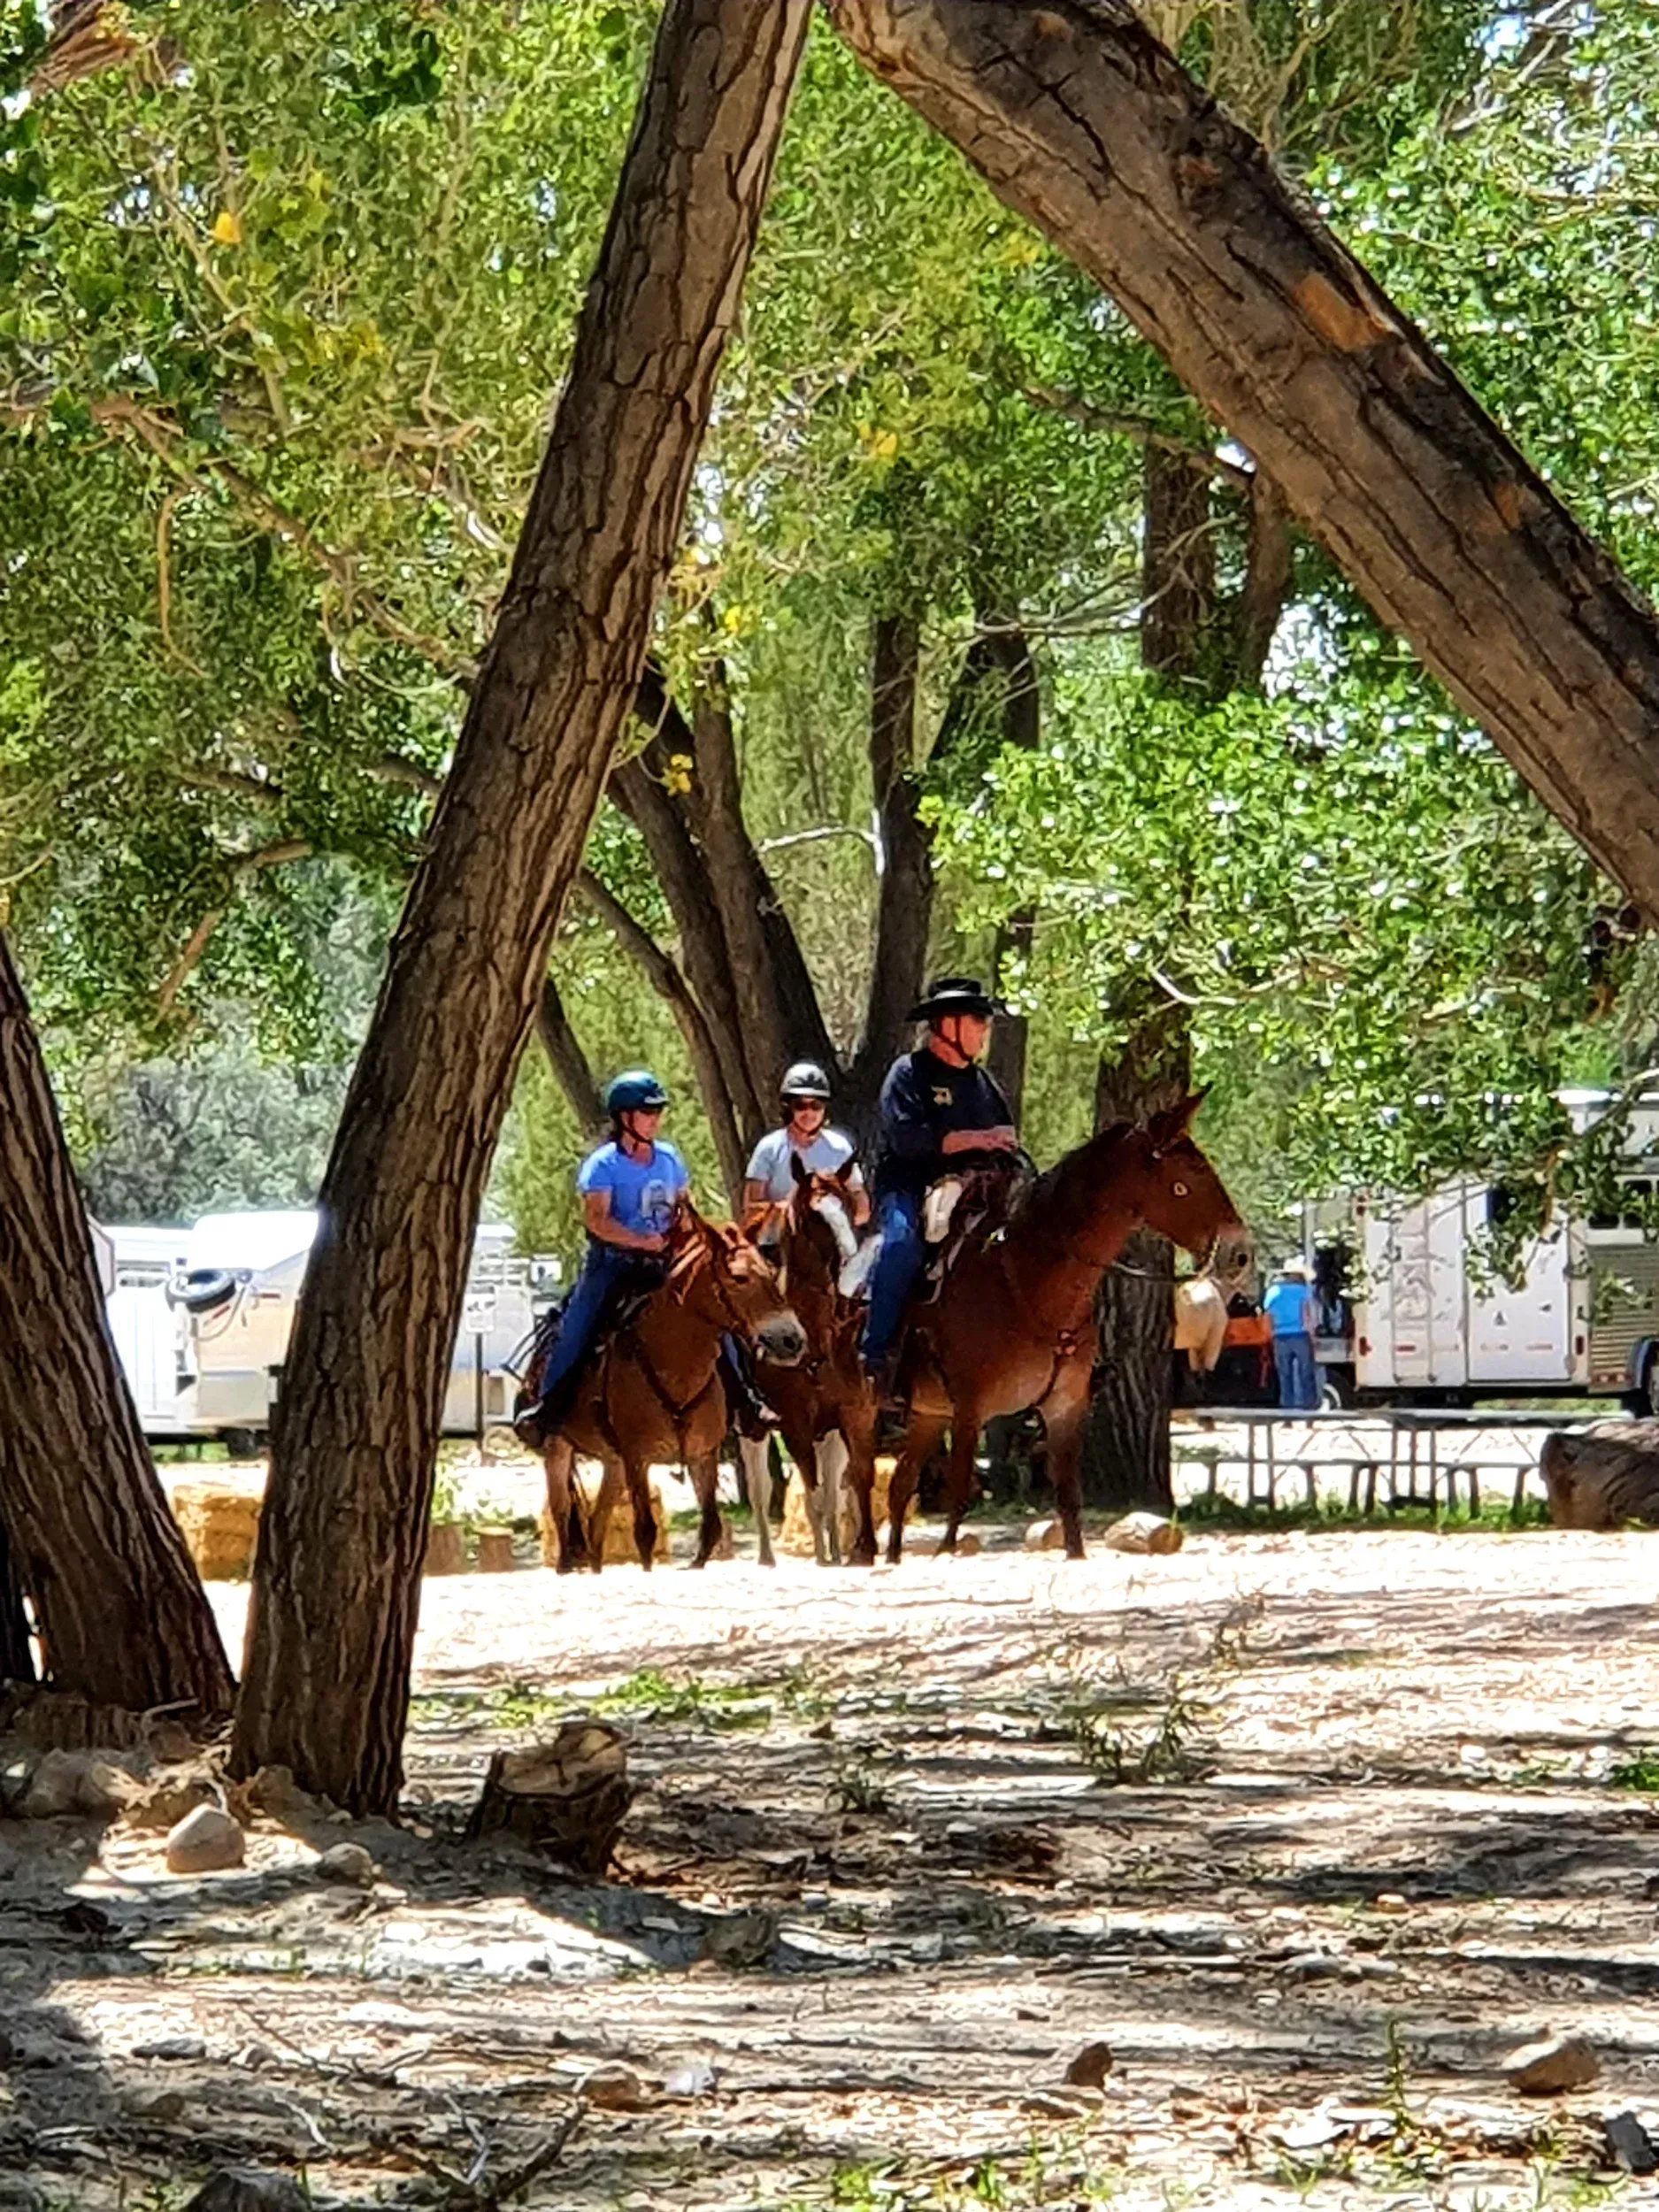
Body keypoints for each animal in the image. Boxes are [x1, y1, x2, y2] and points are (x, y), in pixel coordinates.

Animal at [530, 1207, 806, 1572]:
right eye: (738, 1278)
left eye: (772, 1273)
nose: (792, 1340)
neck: (674, 1367)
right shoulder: (638, 1458)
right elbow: (645, 1532)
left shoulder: (703, 1456)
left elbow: (710, 1529)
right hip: (558, 1450)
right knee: (563, 1520)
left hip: (612, 1463)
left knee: (597, 1524)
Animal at [738, 1159, 877, 1566]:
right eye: (814, 1214)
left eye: (849, 1204)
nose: (849, 1262)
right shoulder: (796, 1424)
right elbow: (812, 1495)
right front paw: (822, 1558)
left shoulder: (851, 1413)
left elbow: (852, 1483)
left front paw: (860, 1550)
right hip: (751, 1429)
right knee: (760, 1488)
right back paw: (768, 1557)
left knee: (831, 1491)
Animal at [865, 1097, 1241, 1564]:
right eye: (1184, 1184)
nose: (1240, 1253)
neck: (1025, 1277)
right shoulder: (970, 1411)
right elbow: (958, 1501)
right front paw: (948, 1549)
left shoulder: (1065, 1409)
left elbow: (1068, 1498)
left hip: (927, 1415)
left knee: (899, 1488)